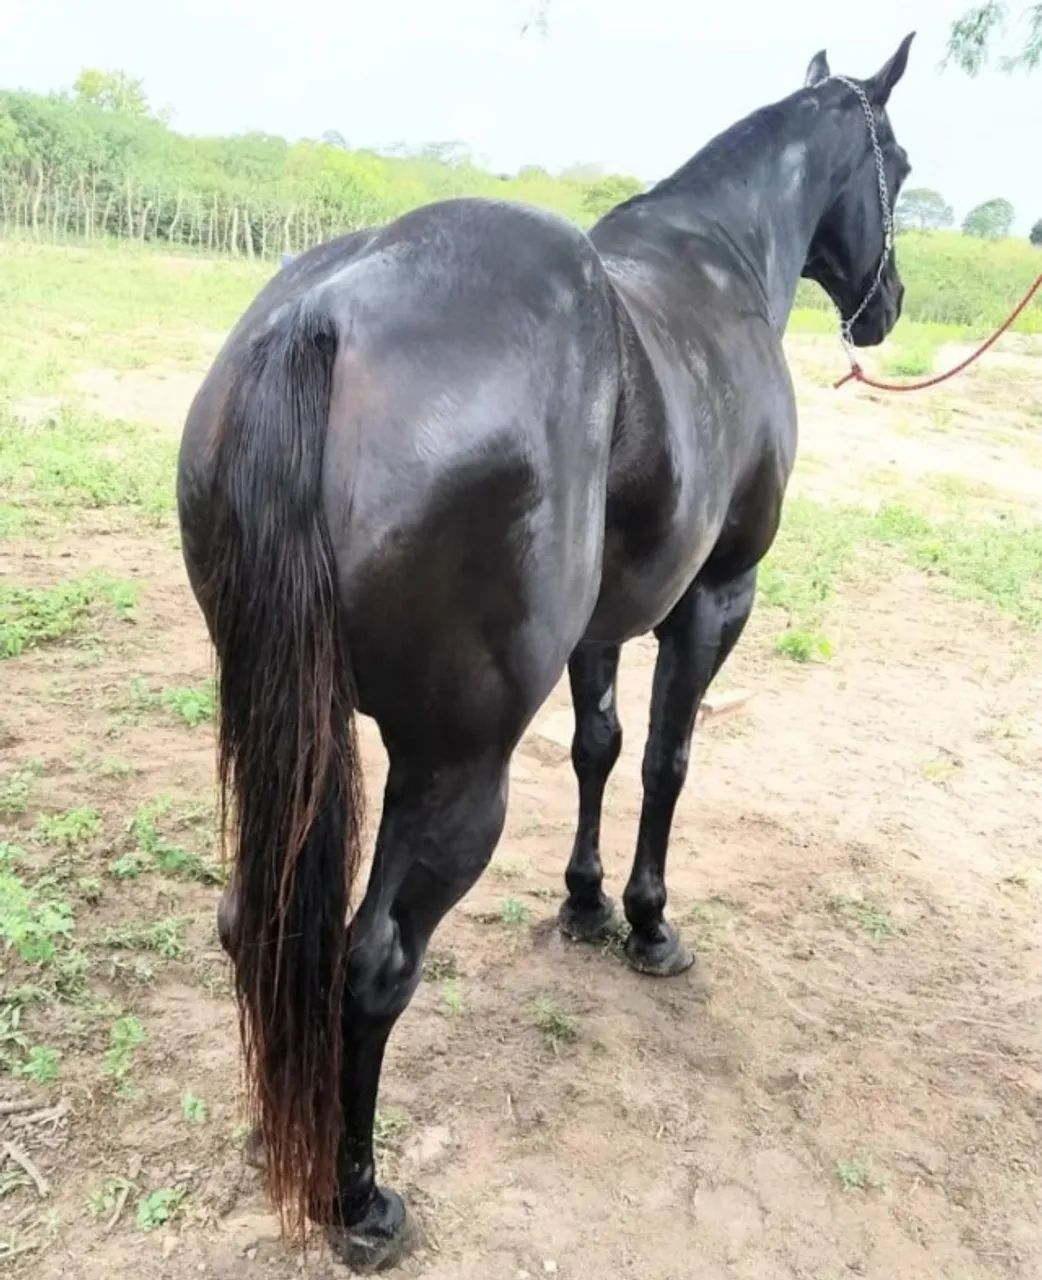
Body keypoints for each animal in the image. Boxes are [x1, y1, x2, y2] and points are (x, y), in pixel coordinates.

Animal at [176, 35, 915, 1272]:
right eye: (896, 163)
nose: (888, 305)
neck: (716, 260)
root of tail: (325, 312)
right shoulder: (714, 600)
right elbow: (665, 760)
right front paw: (648, 923)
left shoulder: (602, 628)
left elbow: (599, 746)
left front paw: (583, 905)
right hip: (452, 769)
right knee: (373, 960)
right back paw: (356, 1197)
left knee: (257, 923)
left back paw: (277, 1128)